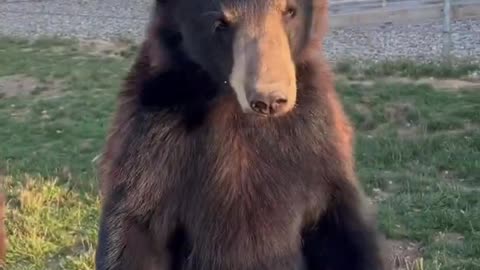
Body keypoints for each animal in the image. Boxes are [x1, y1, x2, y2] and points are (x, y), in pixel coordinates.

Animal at [95, 0, 388, 268]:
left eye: (289, 10)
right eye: (220, 23)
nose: (269, 100)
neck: (234, 110)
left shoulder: (315, 132)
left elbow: (340, 220)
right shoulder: (154, 131)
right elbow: (135, 222)